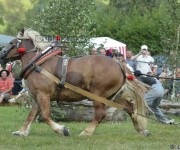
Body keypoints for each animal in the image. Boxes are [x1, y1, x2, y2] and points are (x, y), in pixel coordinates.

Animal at [0, 28, 149, 137]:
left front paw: (62, 130)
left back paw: (86, 132)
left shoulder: (43, 95)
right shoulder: (37, 97)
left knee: (101, 114)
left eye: (12, 42)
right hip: (112, 95)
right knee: (130, 107)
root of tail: (118, 64)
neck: (38, 63)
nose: (2, 53)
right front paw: (22, 131)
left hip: (98, 95)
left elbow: (46, 116)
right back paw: (141, 129)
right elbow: (31, 115)